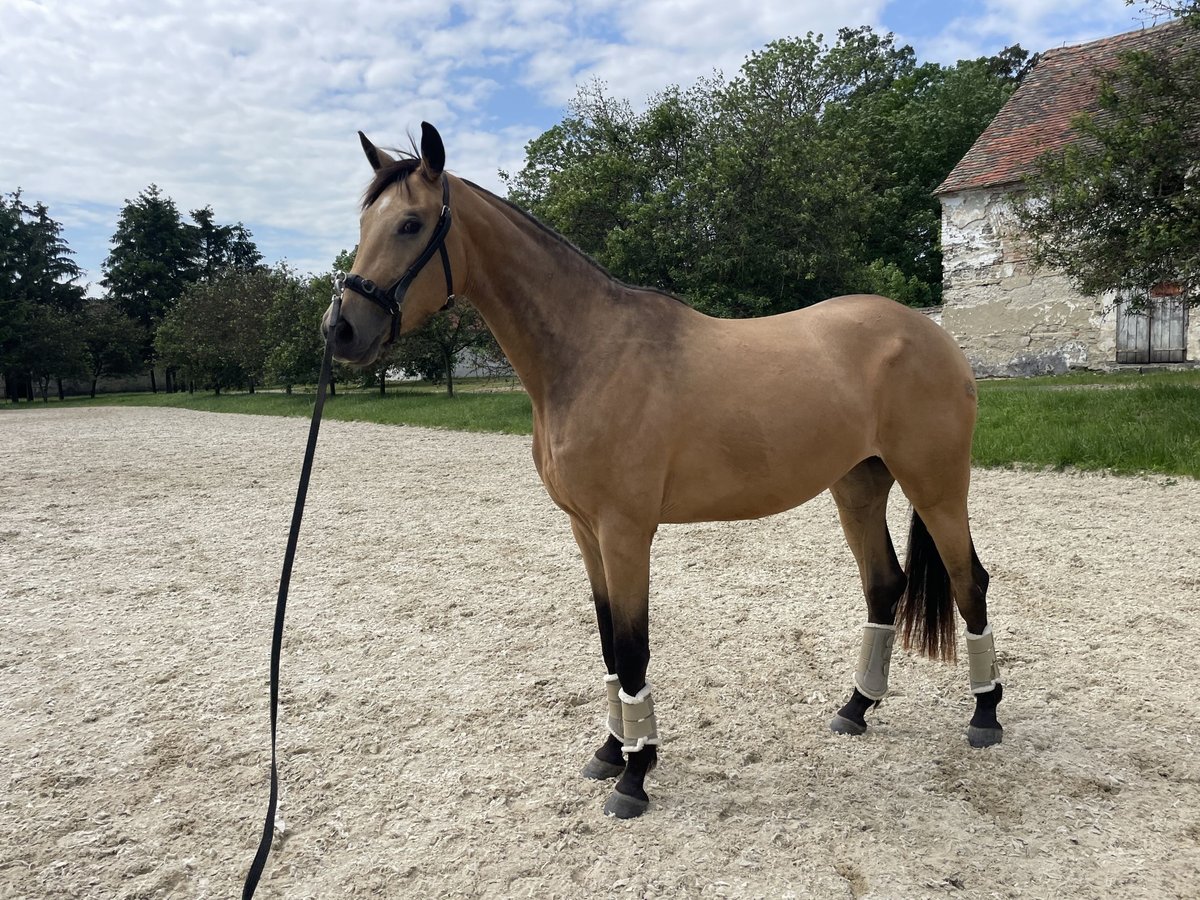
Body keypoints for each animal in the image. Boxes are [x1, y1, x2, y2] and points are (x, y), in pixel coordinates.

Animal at [321, 123, 1003, 820]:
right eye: (365, 220)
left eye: (409, 224)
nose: (339, 330)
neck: (590, 355)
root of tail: (929, 333)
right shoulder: (586, 532)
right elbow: (607, 645)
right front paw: (609, 752)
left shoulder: (626, 532)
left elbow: (632, 647)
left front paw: (634, 775)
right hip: (858, 487)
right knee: (884, 584)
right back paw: (857, 708)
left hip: (936, 486)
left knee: (968, 581)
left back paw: (985, 715)